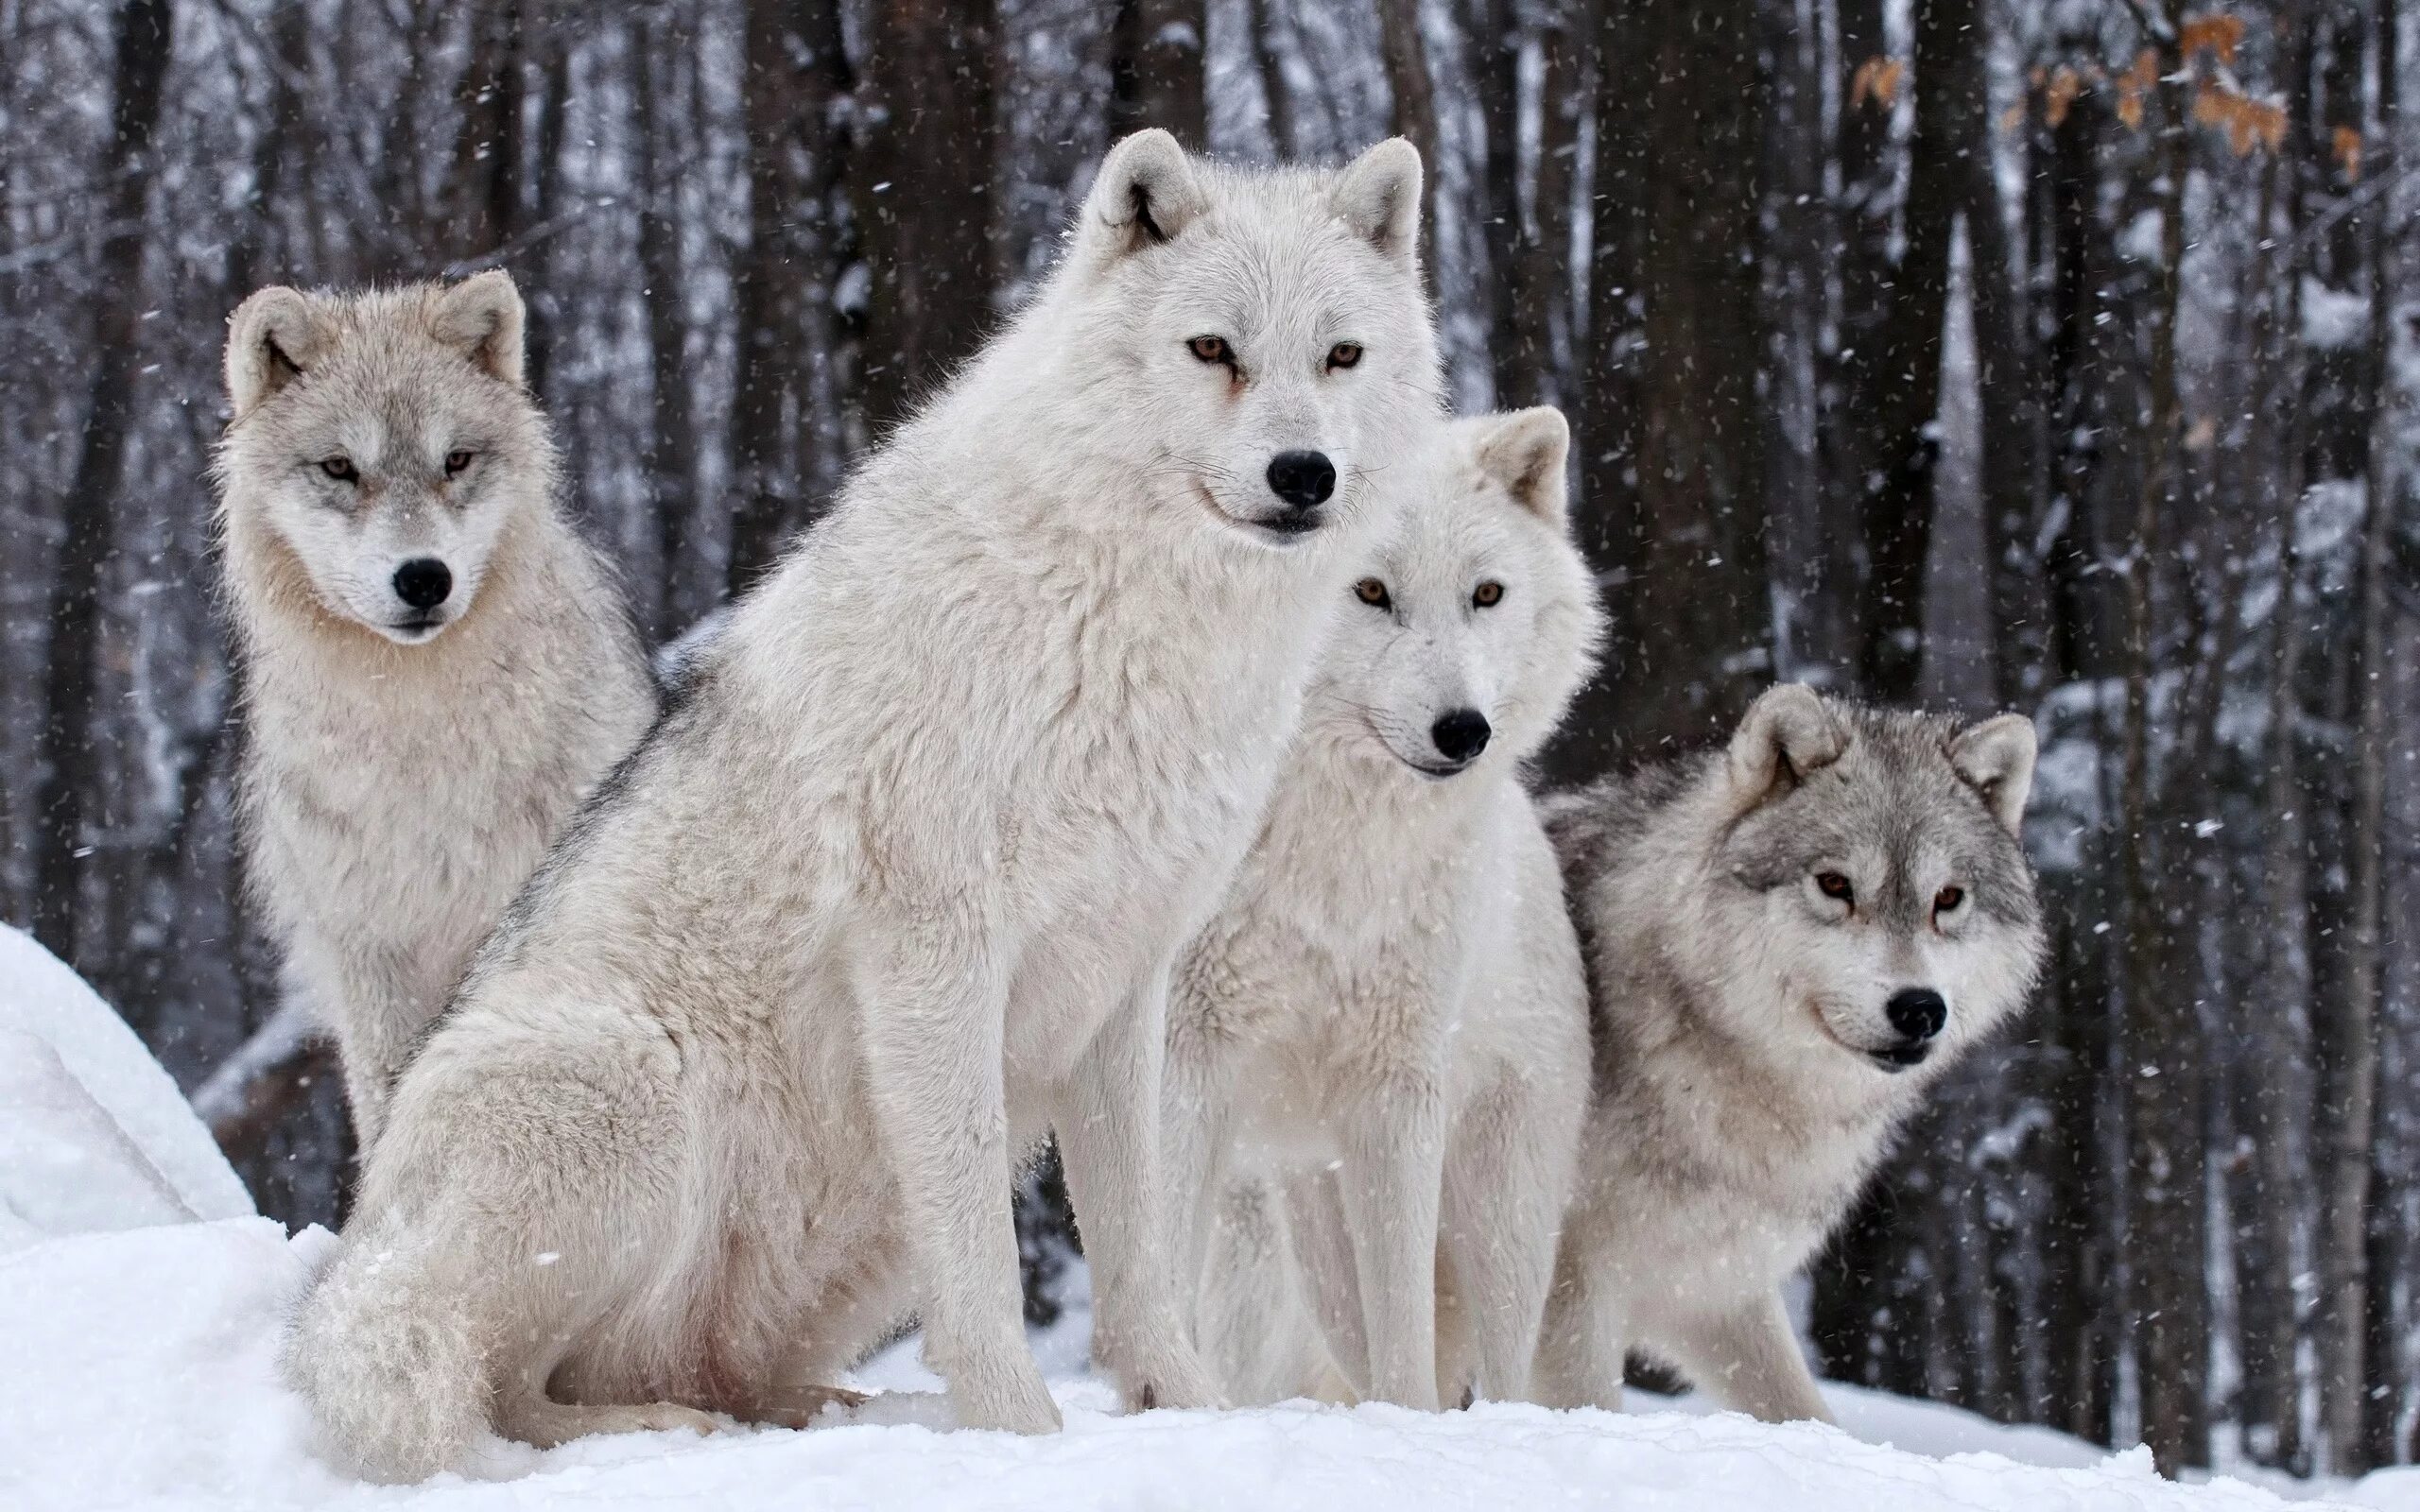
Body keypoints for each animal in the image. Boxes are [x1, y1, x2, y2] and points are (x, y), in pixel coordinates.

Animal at [292, 135, 1442, 1480]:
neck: (1126, 619)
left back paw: (825, 1412)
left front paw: (1187, 1414)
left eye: (1340, 356)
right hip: (632, 1087)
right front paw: (1019, 1434)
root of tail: (355, 1259)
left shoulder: (1125, 976)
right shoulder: (934, 952)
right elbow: (982, 1254)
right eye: (1213, 349)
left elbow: (1140, 1249)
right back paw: (664, 1430)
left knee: (697, 1373)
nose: (1303, 474)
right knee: (502, 1388)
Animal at [1171, 406, 1606, 1413]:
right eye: (1368, 590)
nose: (1464, 732)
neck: (1327, 853)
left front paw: (1404, 1428)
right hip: (1311, 1232)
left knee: (1497, 1367)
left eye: (1486, 594)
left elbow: (1405, 1330)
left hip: (1501, 1215)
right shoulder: (1183, 1061)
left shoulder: (1398, 1090)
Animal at [1529, 692, 2042, 1422]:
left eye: (1947, 899)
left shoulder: (1713, 1290)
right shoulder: (1565, 1286)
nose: (1919, 1009)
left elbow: (1805, 1413)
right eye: (1834, 884)